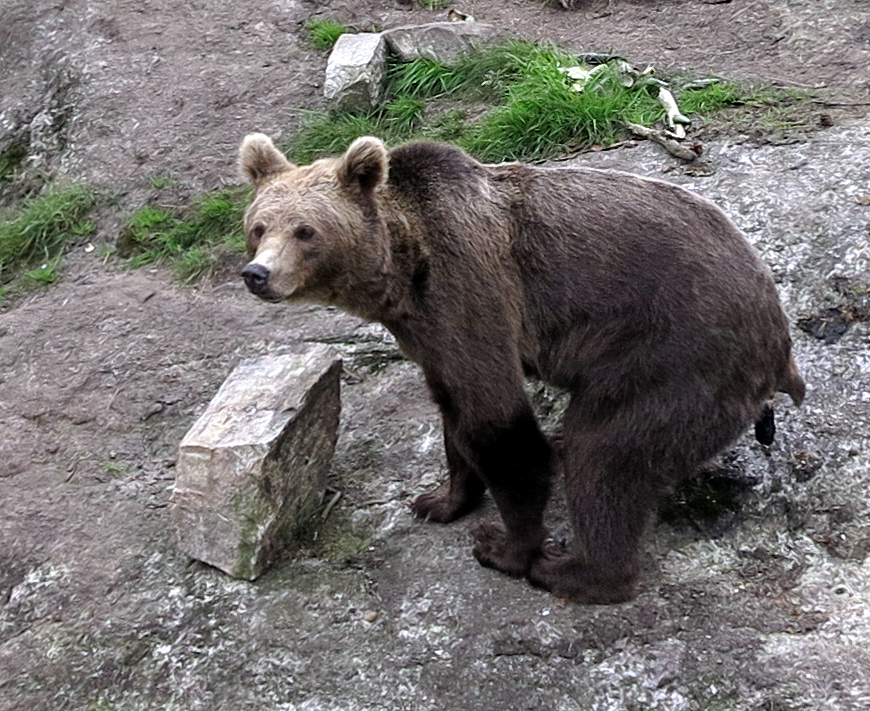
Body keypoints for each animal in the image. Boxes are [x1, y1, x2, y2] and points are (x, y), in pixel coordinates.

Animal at [237, 133, 805, 604]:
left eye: (305, 231)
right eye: (258, 227)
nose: (257, 274)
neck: (401, 269)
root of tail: (779, 339)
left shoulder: (468, 288)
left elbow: (501, 427)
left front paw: (503, 545)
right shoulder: (428, 335)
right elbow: (454, 414)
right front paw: (439, 500)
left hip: (675, 352)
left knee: (605, 450)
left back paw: (573, 570)